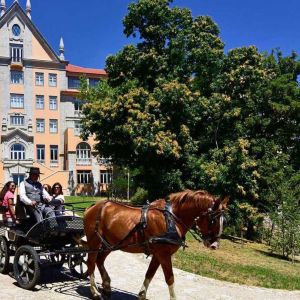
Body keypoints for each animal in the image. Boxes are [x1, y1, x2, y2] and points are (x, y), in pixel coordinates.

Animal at [83, 191, 229, 298]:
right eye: (213, 220)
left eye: (224, 220)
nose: (215, 245)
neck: (171, 219)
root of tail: (92, 206)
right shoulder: (163, 254)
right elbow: (170, 278)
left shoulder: (158, 255)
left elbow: (150, 274)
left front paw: (142, 295)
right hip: (95, 242)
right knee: (91, 263)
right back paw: (95, 291)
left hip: (110, 244)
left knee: (99, 261)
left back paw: (106, 286)